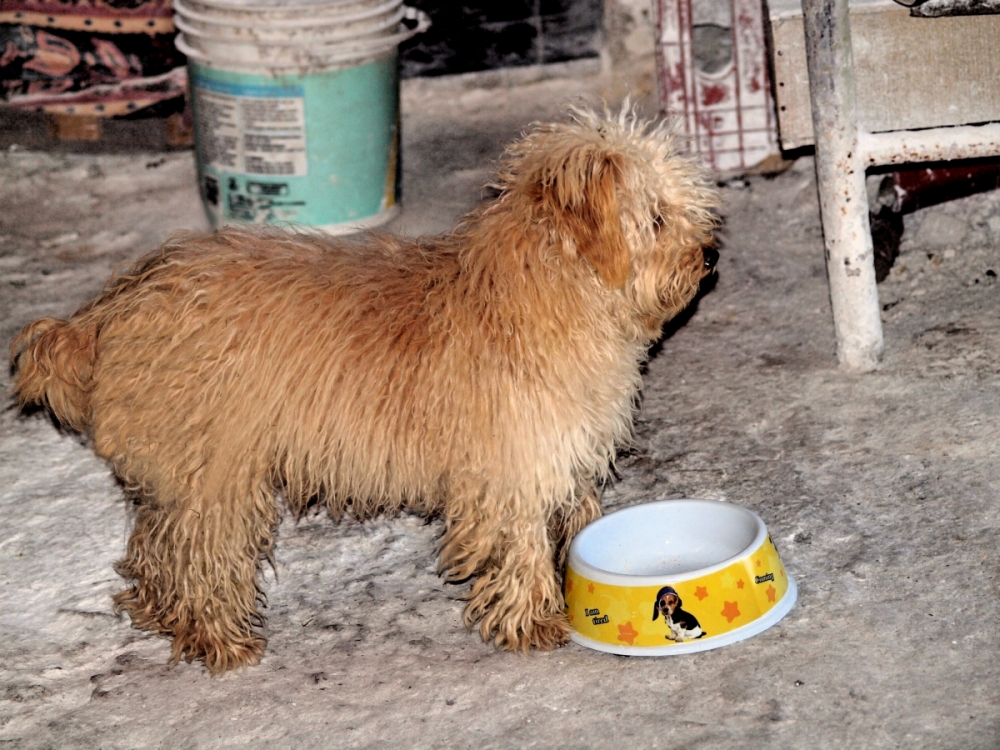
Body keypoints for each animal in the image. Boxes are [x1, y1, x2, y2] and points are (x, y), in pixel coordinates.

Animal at [7, 106, 720, 676]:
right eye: (657, 219)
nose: (711, 254)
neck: (541, 294)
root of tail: (108, 309)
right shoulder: (508, 476)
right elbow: (519, 552)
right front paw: (532, 623)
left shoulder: (561, 461)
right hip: (217, 483)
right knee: (201, 559)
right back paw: (222, 641)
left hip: (182, 476)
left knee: (155, 543)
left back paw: (159, 611)